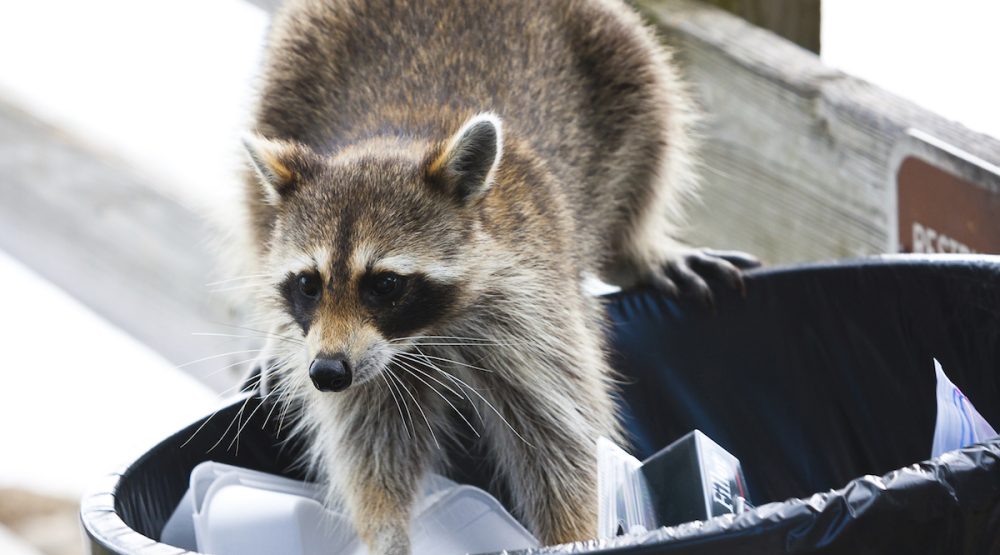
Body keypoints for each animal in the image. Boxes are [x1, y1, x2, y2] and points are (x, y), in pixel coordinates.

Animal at [238, 0, 757, 552]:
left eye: (384, 285)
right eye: (308, 284)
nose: (326, 373)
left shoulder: (535, 304)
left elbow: (562, 437)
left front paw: (572, 534)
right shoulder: (357, 354)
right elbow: (371, 440)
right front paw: (385, 529)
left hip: (619, 58)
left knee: (652, 139)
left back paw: (638, 248)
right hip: (289, 72)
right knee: (255, 204)